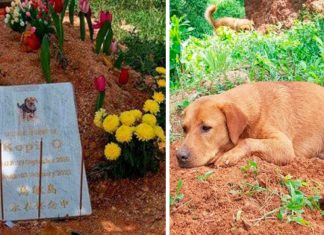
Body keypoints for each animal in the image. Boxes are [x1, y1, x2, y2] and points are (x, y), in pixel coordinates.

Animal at [177, 81, 324, 168]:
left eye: (206, 128)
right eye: (184, 129)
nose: (179, 156)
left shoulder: (285, 147)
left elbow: (247, 141)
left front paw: (229, 155)